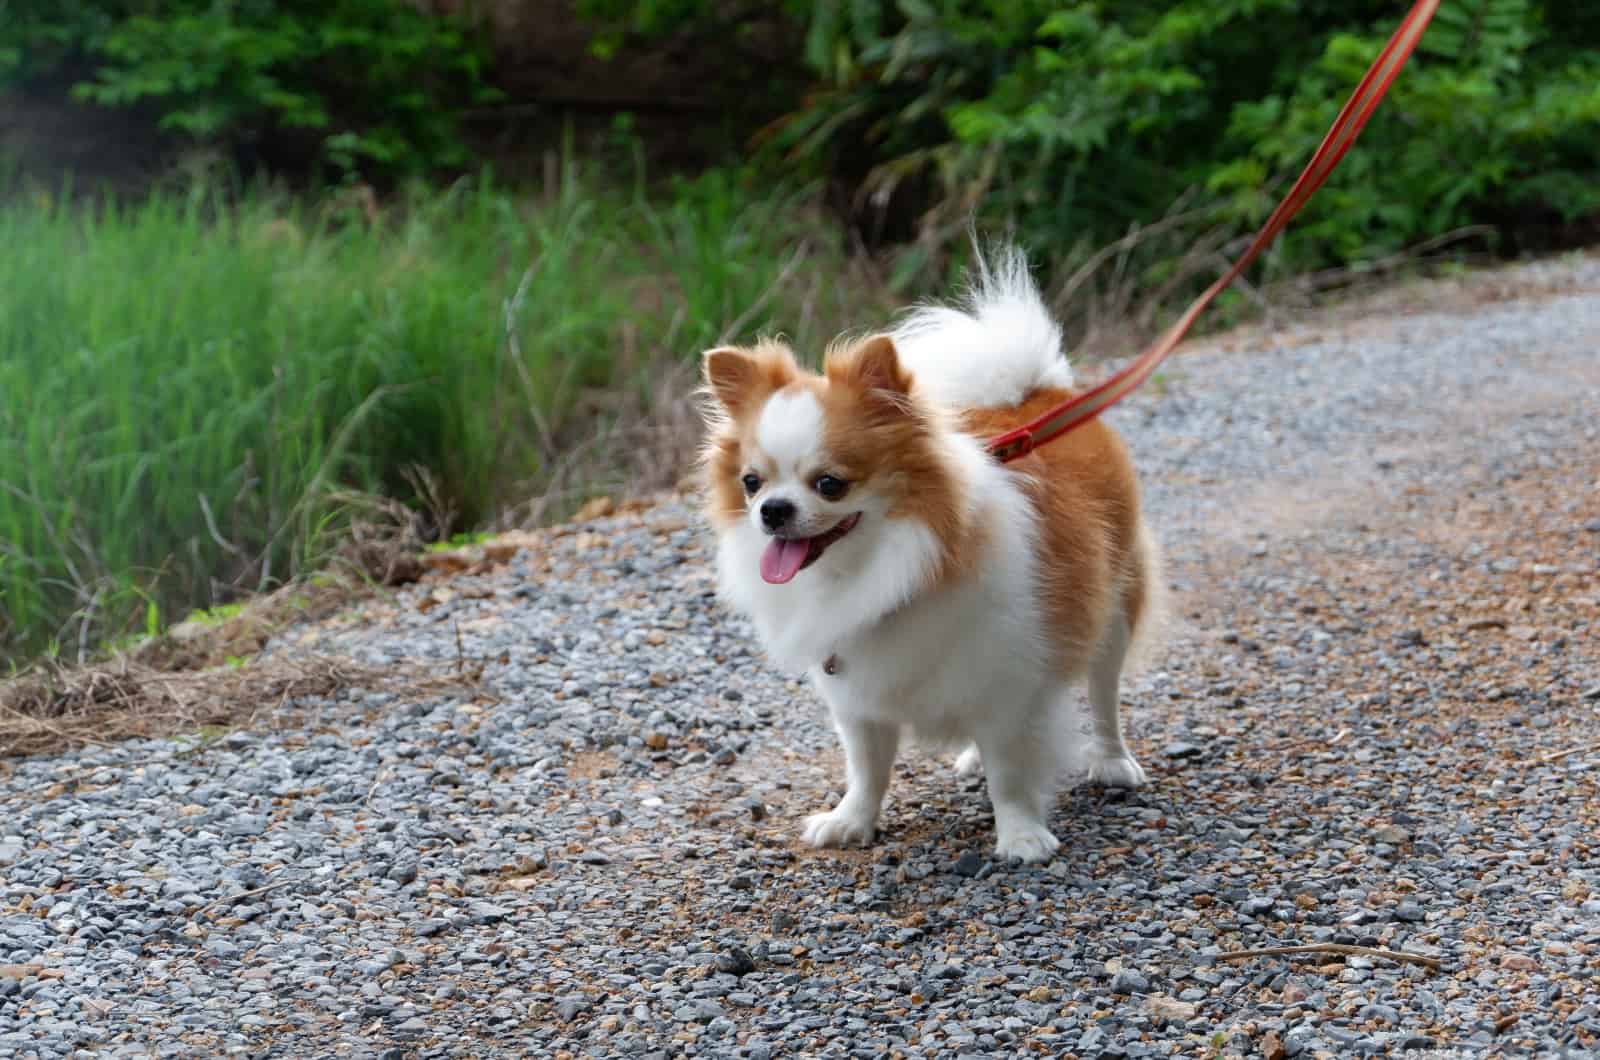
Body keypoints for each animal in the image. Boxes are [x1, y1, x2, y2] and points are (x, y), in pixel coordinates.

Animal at [700, 249, 1164, 864]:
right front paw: (852, 820)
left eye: (830, 485)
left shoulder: (1008, 681)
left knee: (1104, 694)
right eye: (751, 482)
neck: (880, 570)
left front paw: (1020, 835)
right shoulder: (859, 700)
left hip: (1114, 608)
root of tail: (1039, 393)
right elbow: (867, 769)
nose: (772, 510)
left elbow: (1011, 771)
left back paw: (1112, 762)